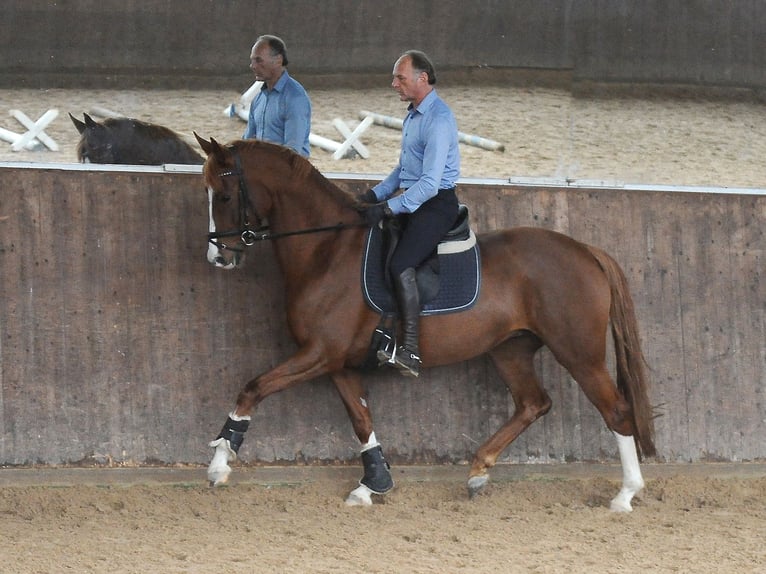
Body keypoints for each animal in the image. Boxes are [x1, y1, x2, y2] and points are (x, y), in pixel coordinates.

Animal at [195, 136, 656, 512]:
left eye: (224, 194)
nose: (218, 257)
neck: (327, 248)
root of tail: (585, 250)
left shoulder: (319, 353)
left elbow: (253, 388)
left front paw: (220, 461)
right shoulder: (338, 361)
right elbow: (361, 420)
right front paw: (374, 484)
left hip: (578, 352)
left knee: (616, 410)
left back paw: (625, 494)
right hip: (510, 349)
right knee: (532, 403)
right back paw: (478, 471)